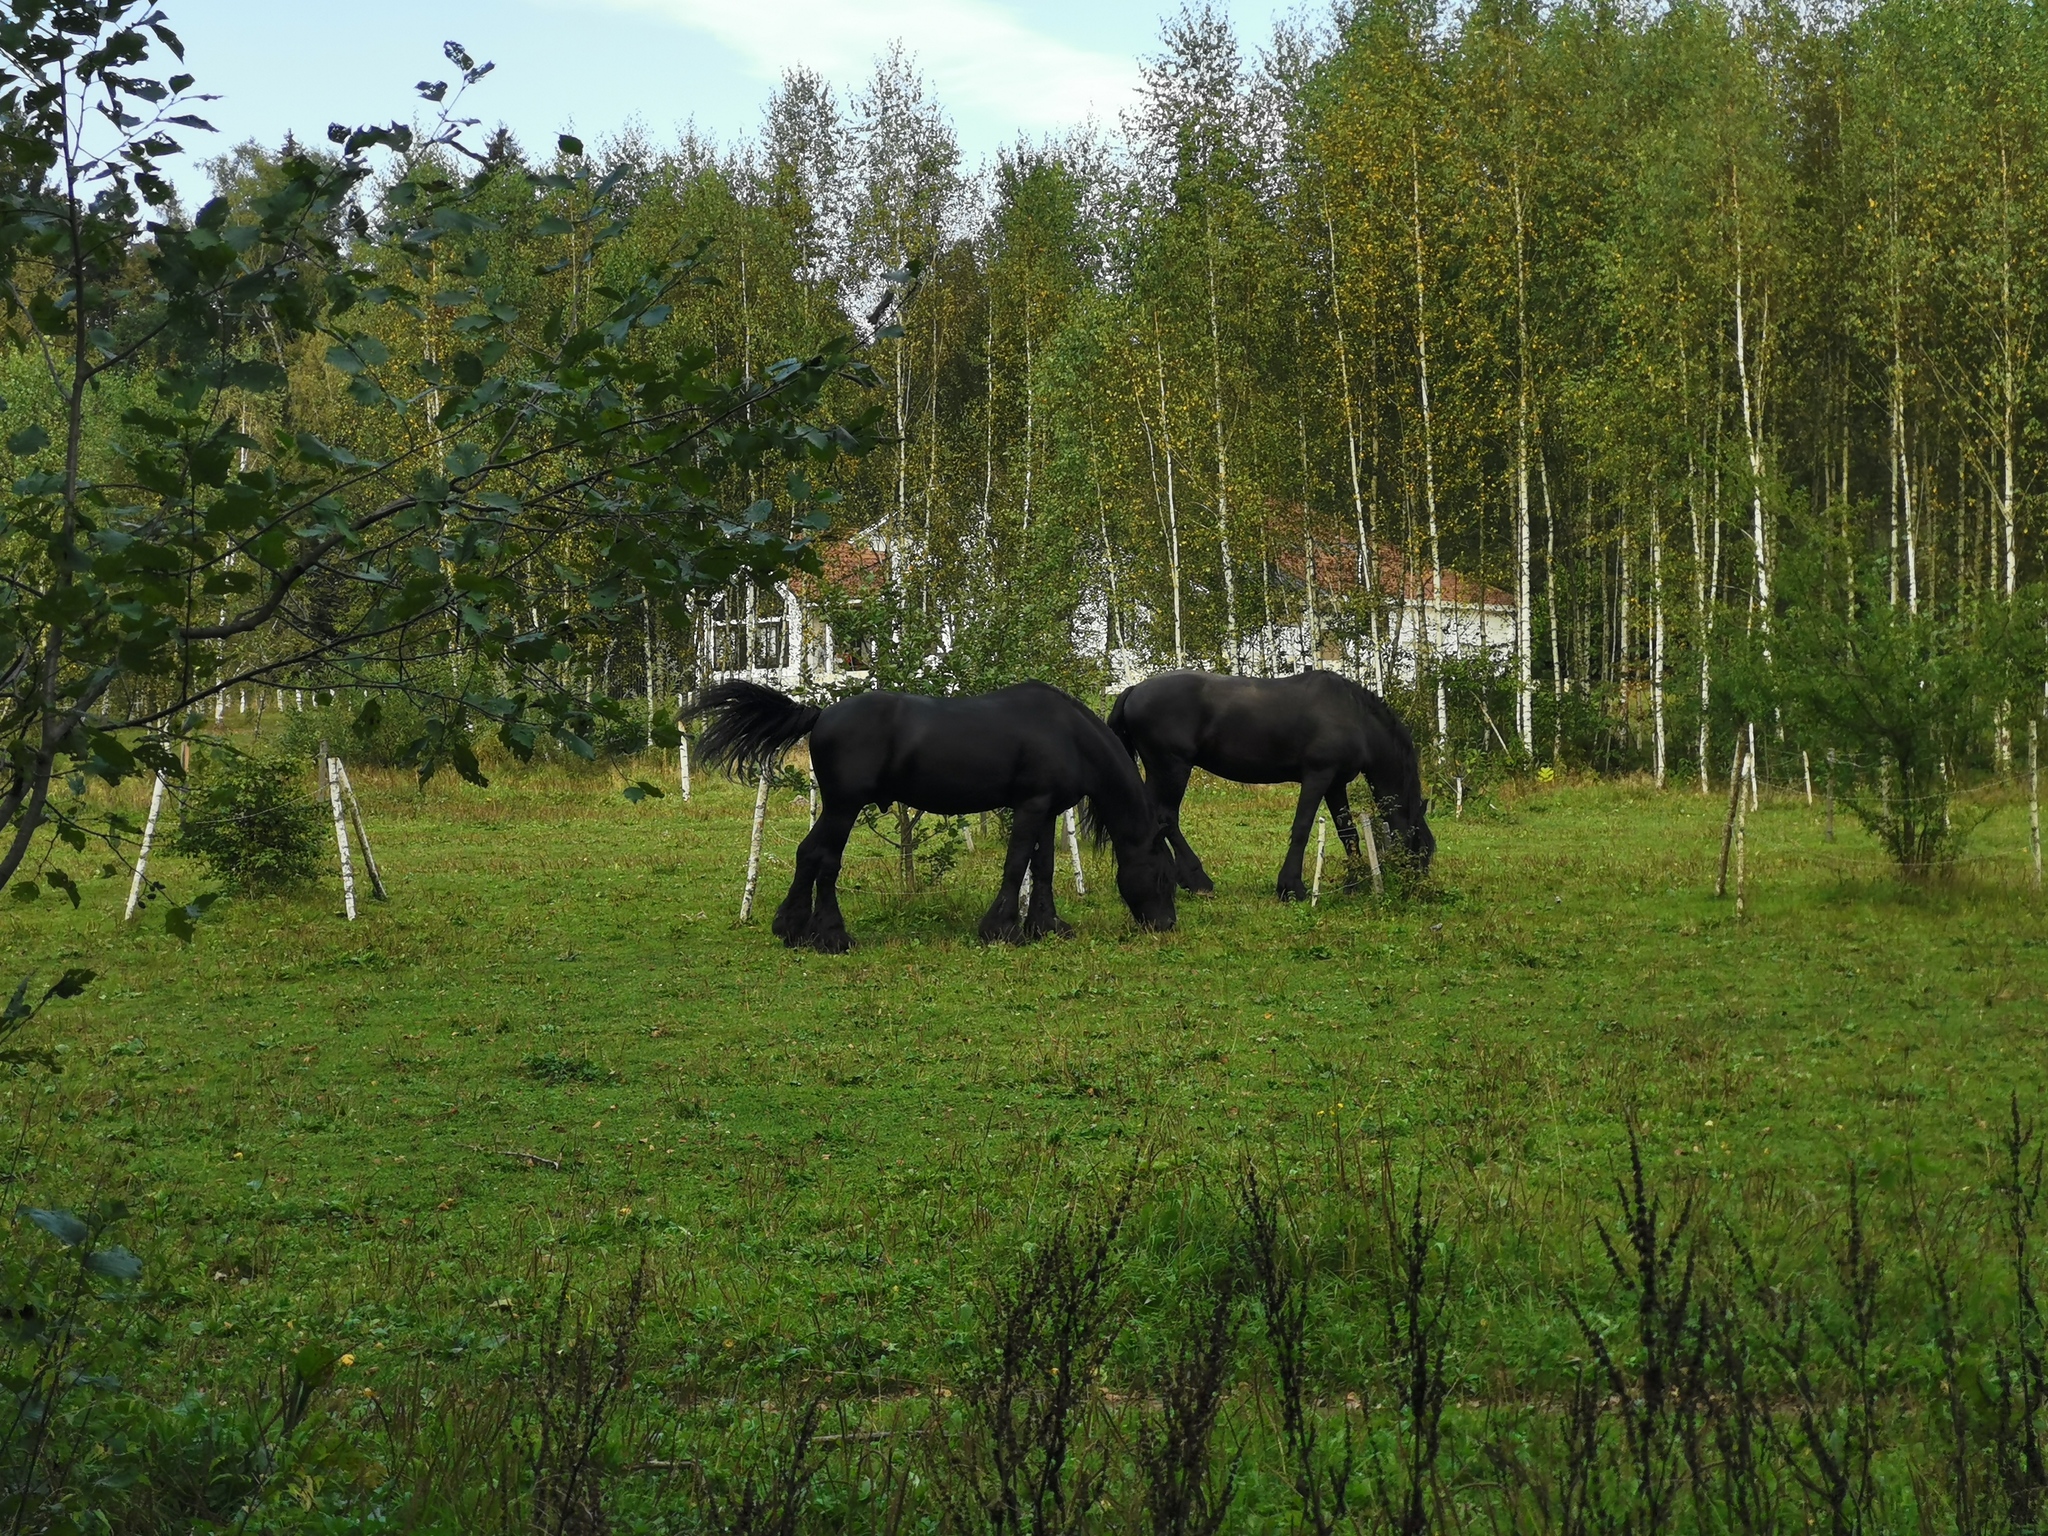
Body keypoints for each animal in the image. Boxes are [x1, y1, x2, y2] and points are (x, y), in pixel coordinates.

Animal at [688, 684, 1179, 950]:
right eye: (1162, 877)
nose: (1166, 925)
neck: (1067, 734)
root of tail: (822, 713)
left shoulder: (1046, 809)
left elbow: (1042, 869)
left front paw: (1046, 926)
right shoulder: (1031, 806)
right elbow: (1016, 864)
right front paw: (1002, 929)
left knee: (811, 855)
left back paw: (795, 930)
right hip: (843, 808)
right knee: (821, 858)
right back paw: (830, 937)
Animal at [1114, 671, 1433, 901]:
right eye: (1423, 849)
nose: (1419, 891)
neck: (1355, 718)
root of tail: (1134, 690)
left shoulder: (1335, 783)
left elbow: (1348, 833)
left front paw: (1351, 884)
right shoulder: (1318, 776)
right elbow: (1302, 827)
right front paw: (1291, 887)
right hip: (1172, 768)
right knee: (1166, 818)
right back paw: (1198, 881)